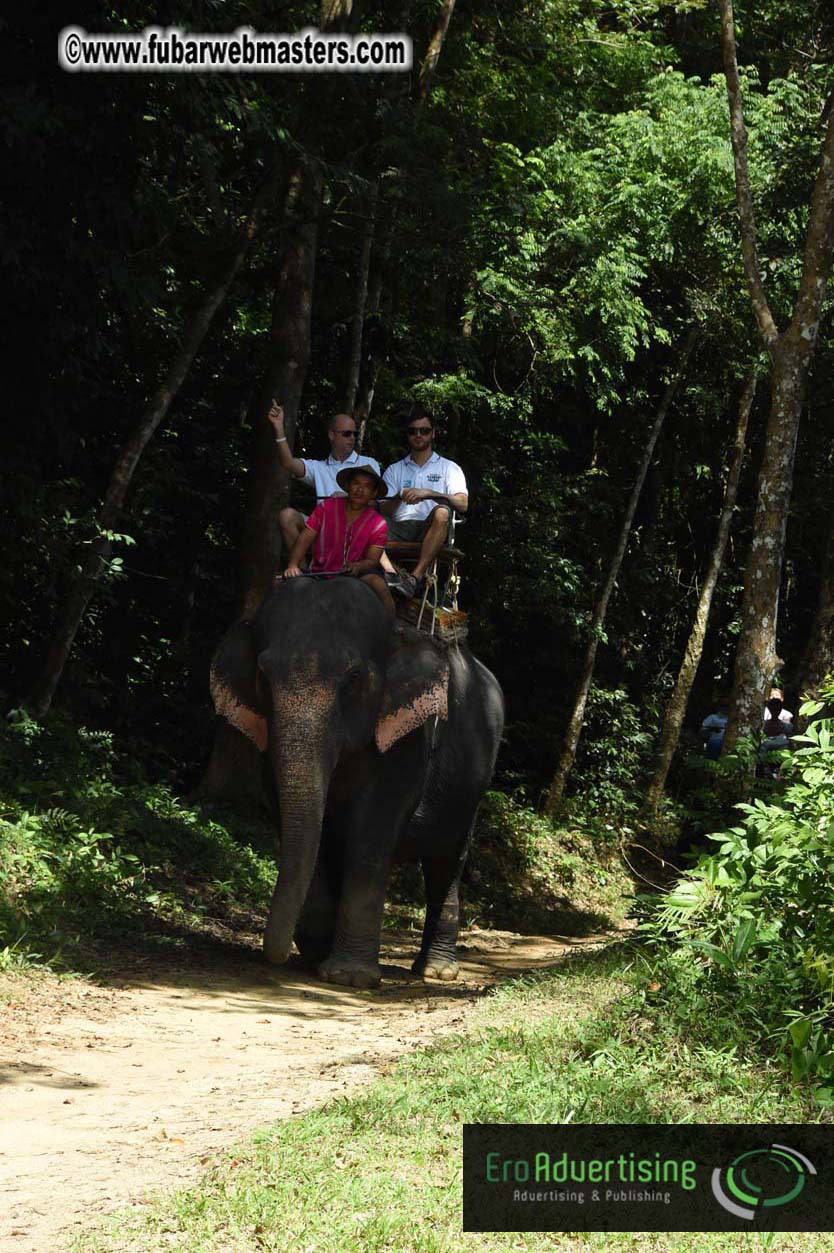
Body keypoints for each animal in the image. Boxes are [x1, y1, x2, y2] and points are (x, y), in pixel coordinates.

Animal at [210, 575, 504, 988]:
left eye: (353, 679)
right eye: (262, 677)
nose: (276, 957)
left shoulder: (407, 736)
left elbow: (370, 831)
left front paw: (349, 977)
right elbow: (296, 822)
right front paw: (316, 954)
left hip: (476, 777)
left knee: (446, 861)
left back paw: (436, 971)